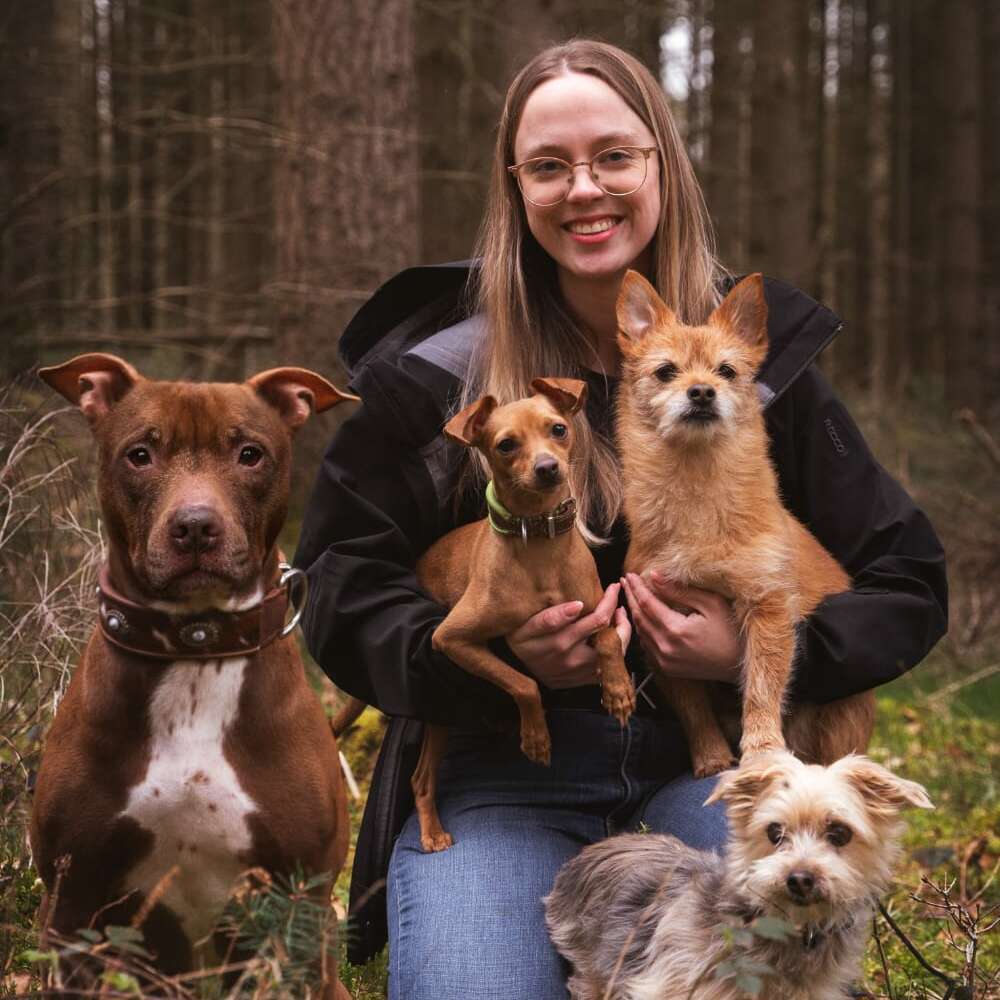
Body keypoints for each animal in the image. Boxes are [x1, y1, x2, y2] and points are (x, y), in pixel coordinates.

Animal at [31, 354, 358, 1000]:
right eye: (140, 454)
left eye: (250, 453)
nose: (196, 526)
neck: (196, 650)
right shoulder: (71, 904)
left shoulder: (301, 901)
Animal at [410, 378, 636, 848]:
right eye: (506, 445)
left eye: (558, 429)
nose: (548, 467)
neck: (539, 541)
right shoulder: (450, 640)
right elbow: (524, 682)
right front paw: (535, 737)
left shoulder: (597, 611)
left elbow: (608, 639)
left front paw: (619, 689)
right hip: (438, 712)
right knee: (420, 779)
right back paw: (433, 833)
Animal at [612, 272, 872, 772]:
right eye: (666, 372)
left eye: (726, 372)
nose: (701, 391)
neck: (696, 489)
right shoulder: (661, 636)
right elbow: (692, 708)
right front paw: (712, 758)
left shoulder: (767, 609)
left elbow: (761, 687)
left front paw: (762, 751)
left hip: (840, 722)